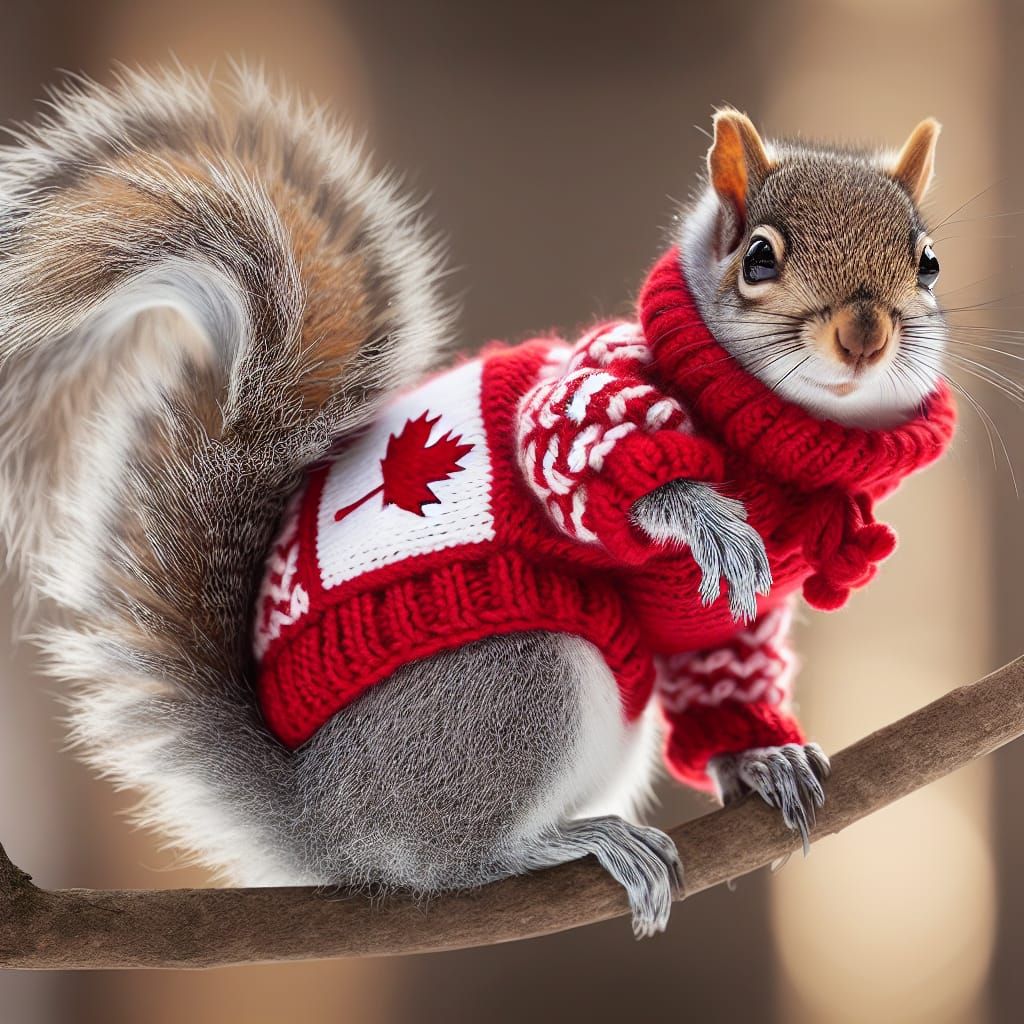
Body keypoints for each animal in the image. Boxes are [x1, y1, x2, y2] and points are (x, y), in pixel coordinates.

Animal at [0, 68, 954, 938]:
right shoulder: (578, 402)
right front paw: (702, 515)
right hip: (517, 687)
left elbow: (722, 672)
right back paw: (573, 843)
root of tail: (324, 820)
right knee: (451, 861)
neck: (785, 441)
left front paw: (762, 758)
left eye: (928, 261)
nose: (863, 335)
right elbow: (570, 452)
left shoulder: (722, 631)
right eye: (760, 256)